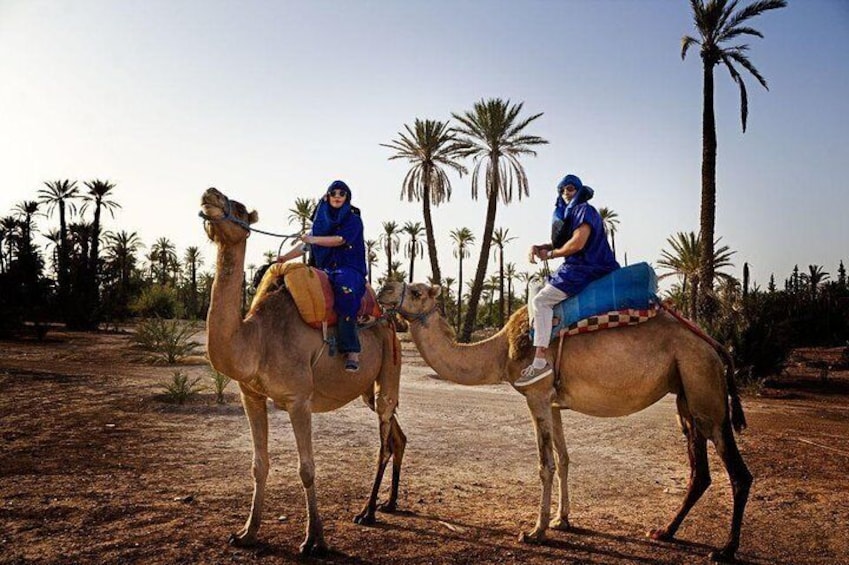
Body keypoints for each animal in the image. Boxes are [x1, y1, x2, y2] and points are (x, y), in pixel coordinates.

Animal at [202, 186, 408, 556]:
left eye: (238, 207)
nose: (210, 194)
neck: (257, 338)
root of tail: (388, 318)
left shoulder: (299, 399)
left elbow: (307, 469)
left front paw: (314, 540)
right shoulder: (250, 395)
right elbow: (259, 465)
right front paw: (246, 533)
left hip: (390, 367)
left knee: (385, 438)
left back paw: (367, 512)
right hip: (366, 390)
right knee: (398, 436)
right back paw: (390, 503)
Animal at [378, 280, 748, 560]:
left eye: (416, 291)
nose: (383, 288)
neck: (499, 352)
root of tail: (715, 346)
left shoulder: (537, 396)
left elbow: (546, 464)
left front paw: (535, 531)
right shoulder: (554, 404)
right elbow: (565, 458)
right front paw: (562, 519)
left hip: (704, 389)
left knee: (738, 473)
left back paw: (725, 550)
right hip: (686, 396)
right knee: (700, 471)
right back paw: (664, 532)